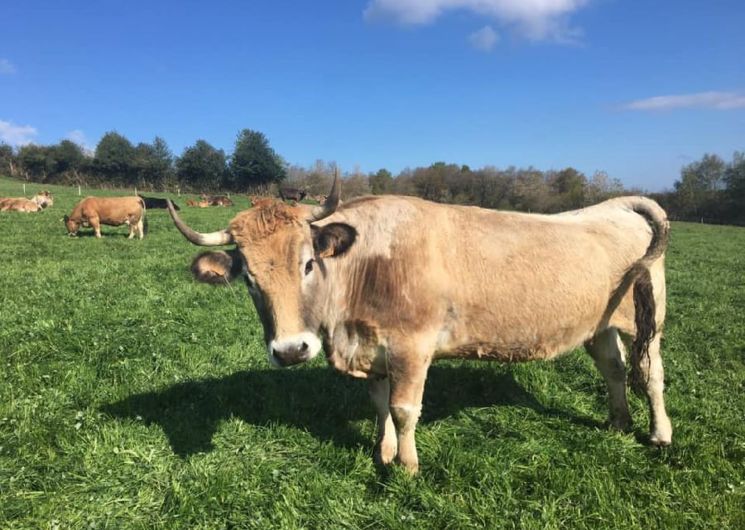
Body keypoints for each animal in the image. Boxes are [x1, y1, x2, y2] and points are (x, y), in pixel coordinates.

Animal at [167, 175, 676, 472]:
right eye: (250, 279)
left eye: (308, 263)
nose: (291, 350)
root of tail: (612, 206)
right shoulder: (373, 349)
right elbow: (378, 405)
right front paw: (384, 452)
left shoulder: (412, 347)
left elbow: (403, 408)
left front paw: (407, 467)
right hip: (599, 325)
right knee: (613, 370)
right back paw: (617, 422)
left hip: (648, 319)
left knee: (651, 375)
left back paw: (659, 434)